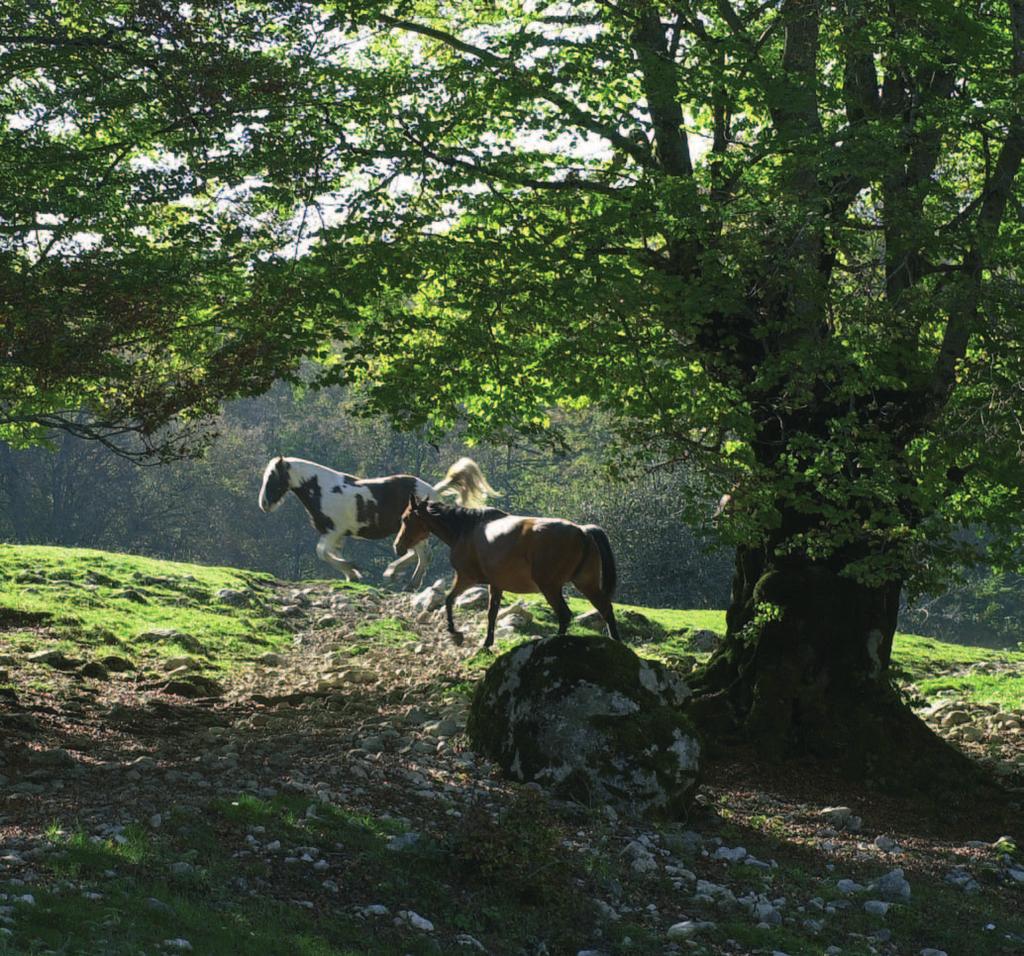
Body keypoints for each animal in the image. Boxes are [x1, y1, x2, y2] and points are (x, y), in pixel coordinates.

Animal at [260, 460, 499, 589]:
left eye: (272, 477)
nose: (263, 504)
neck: (323, 489)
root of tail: (432, 491)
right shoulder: (336, 535)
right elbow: (331, 554)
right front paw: (351, 574)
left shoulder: (334, 531)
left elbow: (322, 553)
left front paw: (353, 568)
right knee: (412, 552)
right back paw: (392, 573)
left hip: (415, 530)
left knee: (423, 555)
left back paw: (411, 583)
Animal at [391, 497, 618, 646]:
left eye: (405, 519)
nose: (397, 547)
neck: (464, 530)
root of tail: (583, 531)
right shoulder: (496, 584)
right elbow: (491, 613)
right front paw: (487, 642)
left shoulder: (466, 577)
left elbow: (448, 600)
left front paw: (455, 632)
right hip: (585, 583)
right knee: (606, 609)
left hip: (551, 587)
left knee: (565, 615)